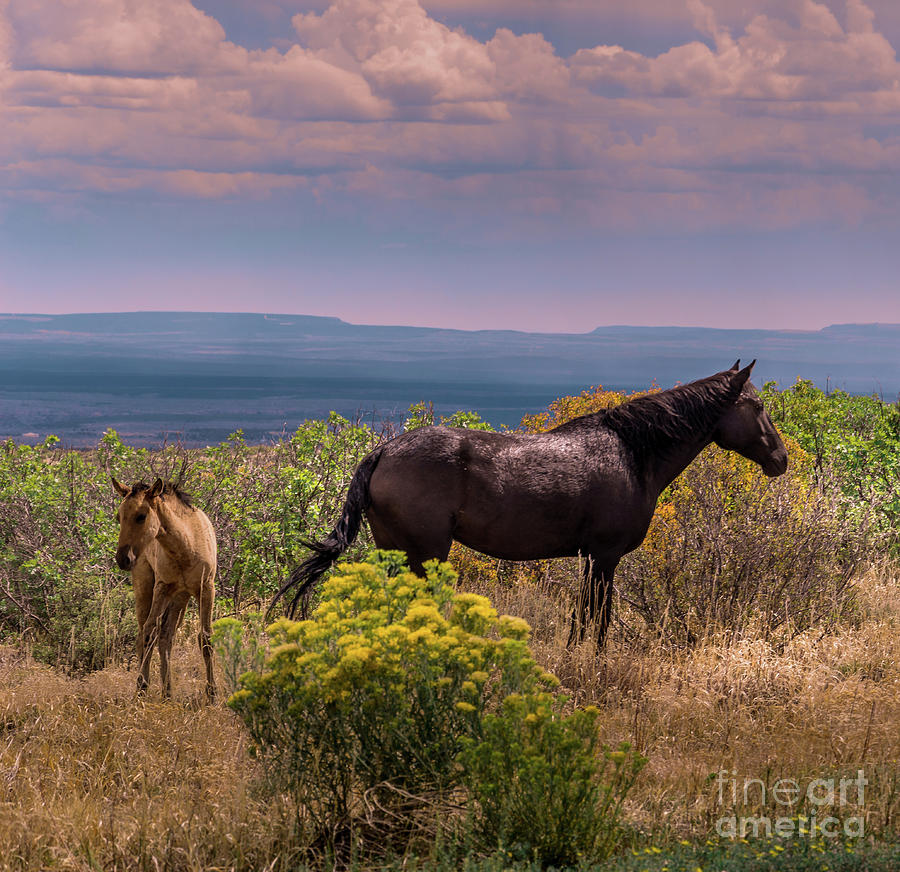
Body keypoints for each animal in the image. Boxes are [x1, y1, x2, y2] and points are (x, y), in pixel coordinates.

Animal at [112, 477, 217, 699]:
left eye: (141, 516)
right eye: (119, 517)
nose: (122, 559)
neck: (186, 546)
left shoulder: (206, 588)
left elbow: (205, 638)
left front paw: (212, 692)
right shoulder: (162, 588)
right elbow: (148, 633)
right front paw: (142, 686)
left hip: (180, 599)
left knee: (166, 637)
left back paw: (167, 691)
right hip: (146, 590)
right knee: (146, 634)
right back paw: (158, 688)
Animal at [271, 361, 788, 647]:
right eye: (758, 407)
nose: (780, 459)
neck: (631, 453)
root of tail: (383, 451)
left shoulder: (591, 559)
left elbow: (584, 618)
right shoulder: (605, 557)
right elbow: (596, 621)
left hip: (396, 551)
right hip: (426, 552)